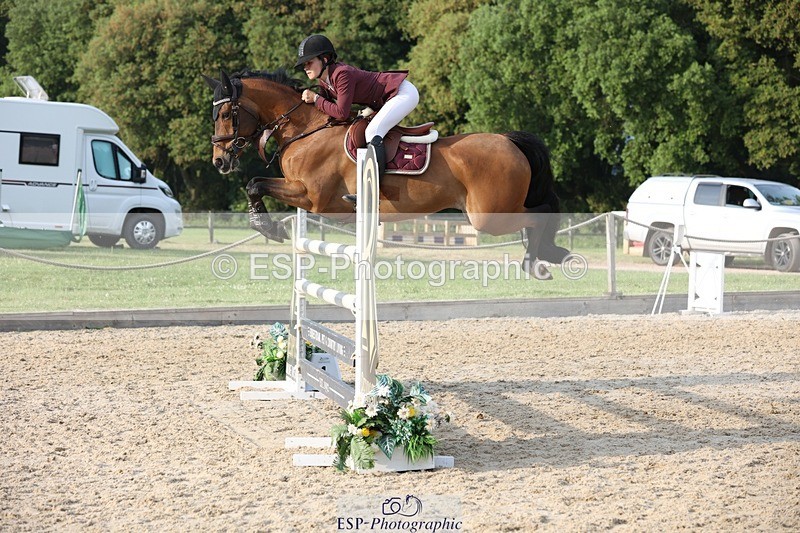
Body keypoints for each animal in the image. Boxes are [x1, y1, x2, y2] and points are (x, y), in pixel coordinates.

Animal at [203, 69, 570, 273]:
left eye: (227, 114)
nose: (219, 161)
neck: (307, 129)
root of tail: (509, 140)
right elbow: (255, 183)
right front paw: (269, 227)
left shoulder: (312, 197)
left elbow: (255, 184)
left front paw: (270, 228)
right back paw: (549, 255)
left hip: (488, 215)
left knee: (540, 213)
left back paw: (538, 260)